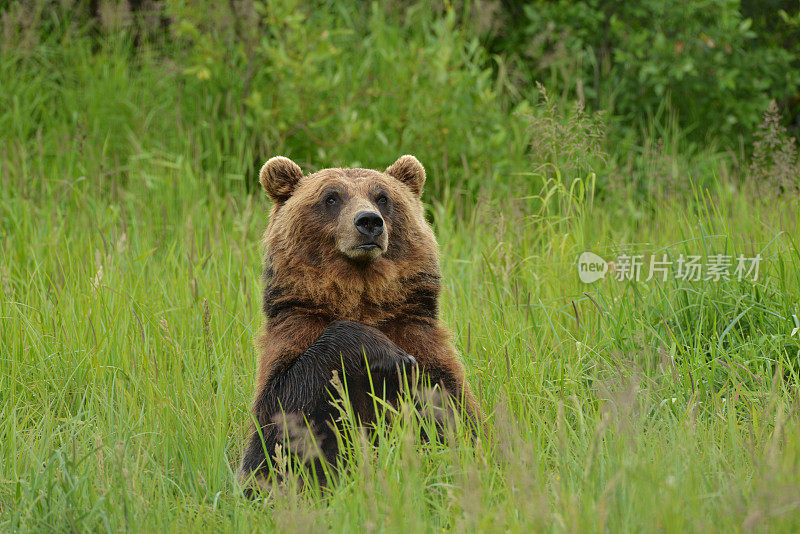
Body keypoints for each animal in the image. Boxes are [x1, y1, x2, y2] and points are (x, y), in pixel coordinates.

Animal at [239, 154, 482, 490]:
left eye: (382, 197)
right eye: (331, 198)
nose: (369, 221)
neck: (360, 297)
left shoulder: (417, 337)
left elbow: (455, 417)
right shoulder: (296, 329)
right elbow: (277, 422)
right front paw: (384, 350)